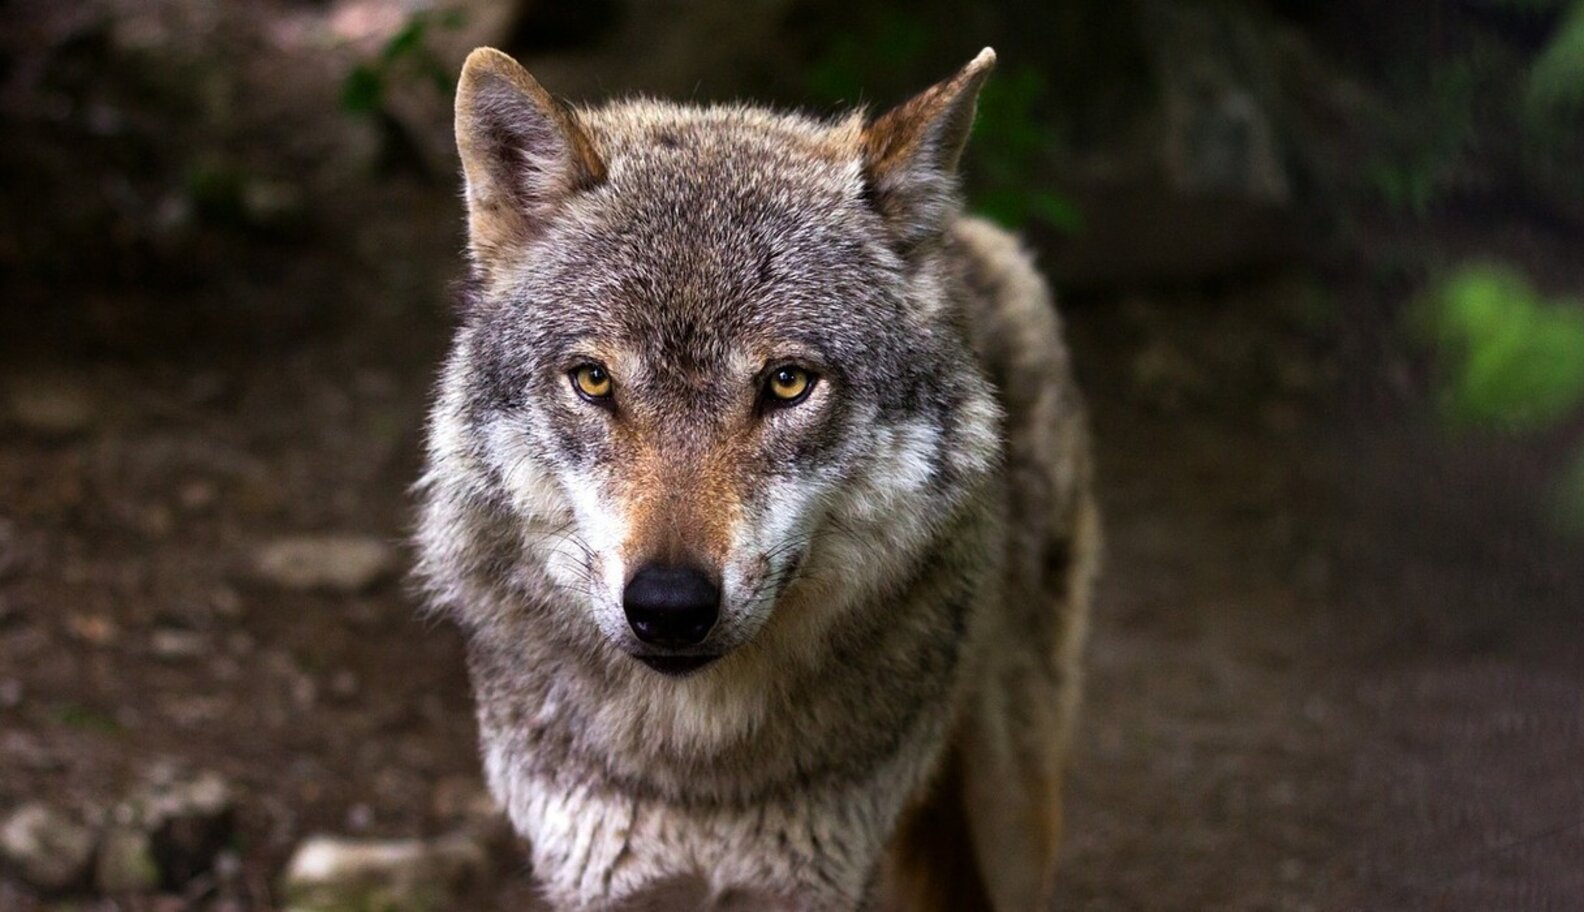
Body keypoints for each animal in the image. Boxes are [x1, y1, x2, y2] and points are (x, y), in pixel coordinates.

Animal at [414, 44, 1098, 911]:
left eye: (787, 383)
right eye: (594, 380)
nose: (669, 606)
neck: (699, 771)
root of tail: (968, 234)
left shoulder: (821, 882)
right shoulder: (594, 879)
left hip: (1013, 811)